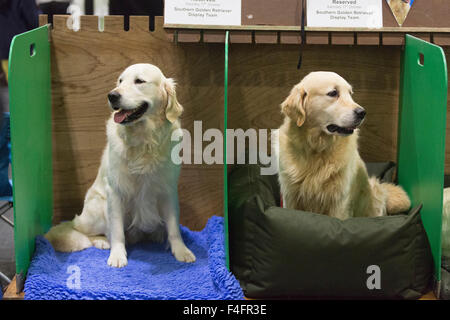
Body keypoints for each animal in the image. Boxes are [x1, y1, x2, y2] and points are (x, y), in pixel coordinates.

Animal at [44, 63, 196, 268]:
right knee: (83, 231)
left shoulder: (168, 189)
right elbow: (116, 230)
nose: (112, 95)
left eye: (139, 81)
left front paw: (181, 250)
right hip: (97, 207)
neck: (144, 141)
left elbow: (173, 226)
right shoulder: (115, 191)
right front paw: (117, 255)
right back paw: (101, 241)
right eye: (120, 81)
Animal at [278, 71, 412, 220]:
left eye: (350, 93)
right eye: (333, 93)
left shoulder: (339, 202)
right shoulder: (290, 197)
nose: (362, 112)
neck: (317, 149)